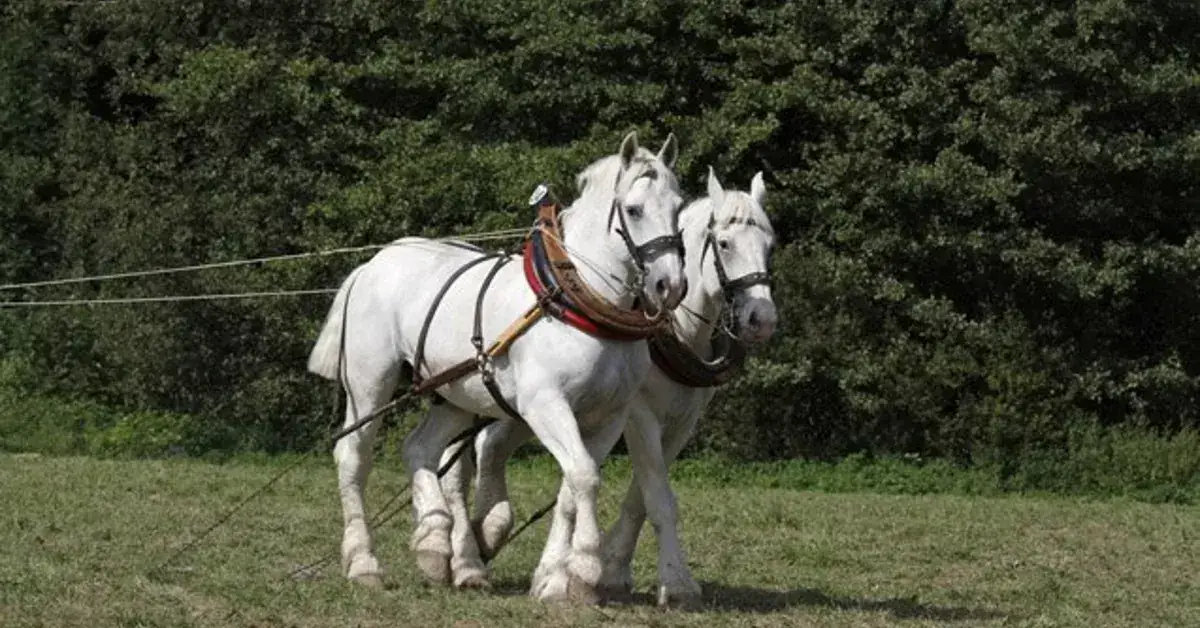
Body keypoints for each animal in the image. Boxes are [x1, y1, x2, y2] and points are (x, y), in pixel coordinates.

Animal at [306, 132, 688, 603]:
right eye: (633, 210)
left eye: (678, 206)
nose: (670, 285)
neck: (579, 302)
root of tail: (371, 264)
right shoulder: (546, 405)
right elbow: (584, 476)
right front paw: (583, 569)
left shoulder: (609, 416)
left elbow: (574, 484)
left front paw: (560, 577)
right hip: (369, 384)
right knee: (353, 457)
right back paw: (364, 563)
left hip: (454, 394)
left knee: (419, 448)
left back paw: (434, 540)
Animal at [442, 168, 779, 607]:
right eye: (725, 243)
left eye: (769, 246)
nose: (762, 319)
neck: (672, 332)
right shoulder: (638, 416)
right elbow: (657, 497)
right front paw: (674, 583)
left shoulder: (680, 422)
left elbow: (639, 497)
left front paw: (608, 568)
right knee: (454, 467)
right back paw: (461, 559)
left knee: (490, 447)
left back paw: (488, 532)